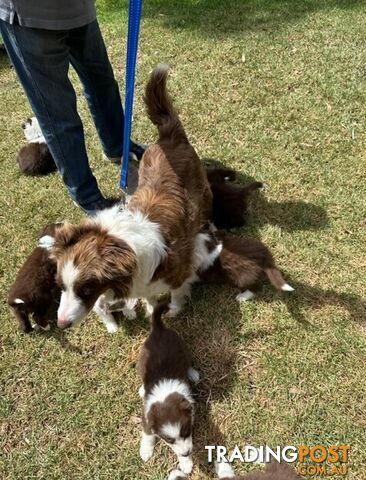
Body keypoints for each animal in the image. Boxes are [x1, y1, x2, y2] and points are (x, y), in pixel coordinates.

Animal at [50, 64, 213, 334]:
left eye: (85, 289)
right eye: (61, 286)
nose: (61, 324)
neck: (123, 246)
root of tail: (169, 135)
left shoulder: (178, 271)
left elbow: (177, 292)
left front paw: (174, 310)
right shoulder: (142, 283)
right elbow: (150, 297)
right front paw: (150, 309)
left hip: (203, 189)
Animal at [138, 302, 200, 474]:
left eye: (186, 432)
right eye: (169, 440)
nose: (186, 453)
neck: (165, 397)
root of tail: (158, 328)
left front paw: (185, 463)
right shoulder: (147, 416)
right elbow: (147, 433)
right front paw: (145, 451)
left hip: (184, 348)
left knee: (188, 362)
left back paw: (193, 374)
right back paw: (142, 389)